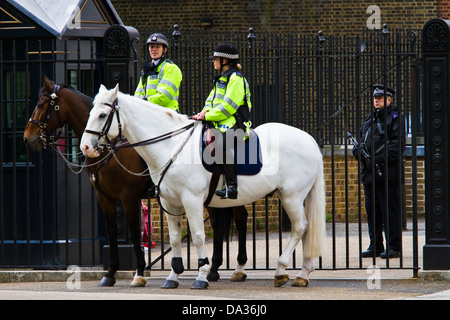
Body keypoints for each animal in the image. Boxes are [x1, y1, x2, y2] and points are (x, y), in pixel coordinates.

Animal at [23, 76, 250, 286]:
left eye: (42, 104)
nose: (27, 137)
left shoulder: (128, 196)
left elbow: (133, 233)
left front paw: (139, 273)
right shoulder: (104, 196)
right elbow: (112, 232)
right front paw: (110, 273)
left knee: (240, 218)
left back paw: (237, 269)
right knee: (219, 224)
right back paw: (214, 270)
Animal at [81, 84, 326, 288]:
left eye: (102, 114)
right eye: (91, 113)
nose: (85, 147)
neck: (171, 146)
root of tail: (310, 140)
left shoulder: (190, 200)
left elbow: (198, 236)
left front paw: (201, 276)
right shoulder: (169, 203)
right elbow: (175, 238)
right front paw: (173, 277)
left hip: (291, 196)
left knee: (300, 227)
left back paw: (282, 270)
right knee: (302, 230)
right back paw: (302, 274)